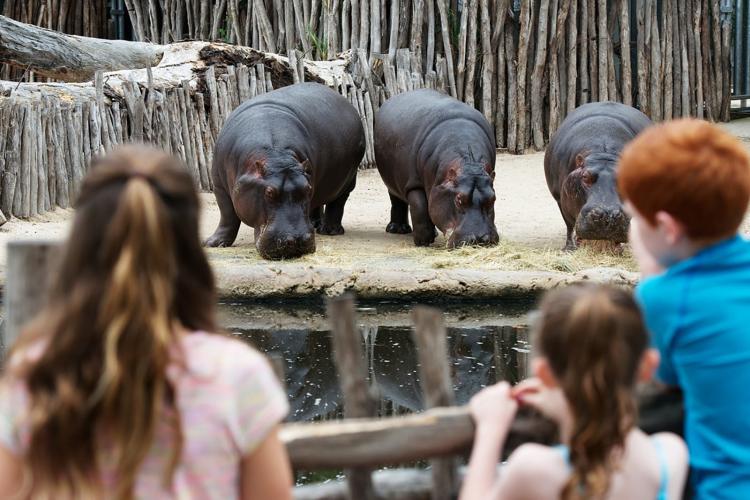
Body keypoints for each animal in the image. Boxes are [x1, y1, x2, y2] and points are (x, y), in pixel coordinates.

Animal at [204, 82, 366, 260]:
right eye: (269, 192)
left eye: (307, 190)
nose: (296, 240)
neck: (275, 155)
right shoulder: (219, 187)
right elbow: (227, 215)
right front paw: (213, 244)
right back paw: (315, 224)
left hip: (348, 180)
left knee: (338, 202)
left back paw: (330, 230)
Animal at [374, 89, 500, 248]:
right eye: (459, 199)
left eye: (493, 198)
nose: (479, 239)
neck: (468, 164)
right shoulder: (414, 184)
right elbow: (420, 208)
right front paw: (423, 242)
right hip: (392, 183)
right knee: (397, 200)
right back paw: (397, 230)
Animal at [544, 101, 656, 250]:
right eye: (585, 177)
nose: (607, 215)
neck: (603, 152)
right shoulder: (560, 198)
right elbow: (569, 224)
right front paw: (569, 248)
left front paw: (617, 249)